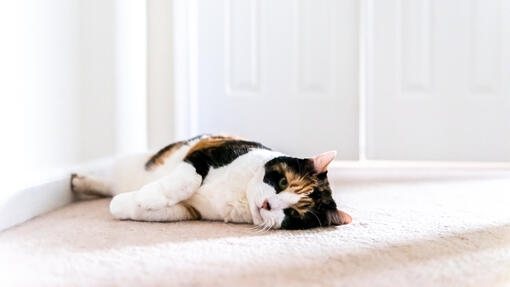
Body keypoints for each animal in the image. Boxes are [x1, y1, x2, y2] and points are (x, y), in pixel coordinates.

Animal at [70, 134, 350, 231]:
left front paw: (127, 204)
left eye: (293, 214)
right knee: (113, 180)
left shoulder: (192, 211)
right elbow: (188, 179)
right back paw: (80, 181)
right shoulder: (206, 151)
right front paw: (147, 196)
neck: (240, 195)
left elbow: (155, 212)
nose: (268, 205)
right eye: (282, 181)